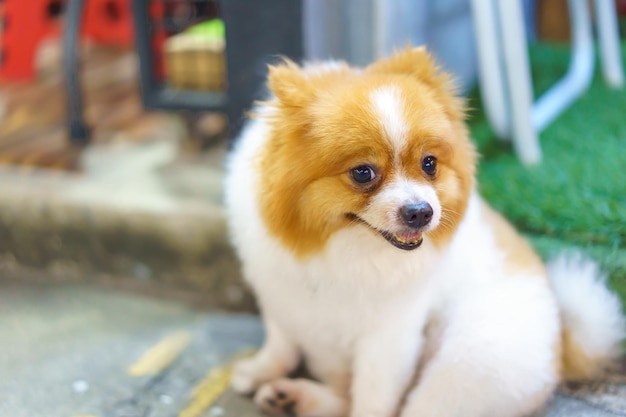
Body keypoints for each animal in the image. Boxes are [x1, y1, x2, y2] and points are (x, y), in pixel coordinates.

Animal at [222, 47, 620, 416]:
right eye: (363, 173)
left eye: (430, 164)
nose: (420, 212)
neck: (342, 251)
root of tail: (561, 342)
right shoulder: (282, 298)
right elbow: (281, 345)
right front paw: (258, 370)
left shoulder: (390, 337)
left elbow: (372, 400)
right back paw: (291, 396)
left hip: (461, 367)